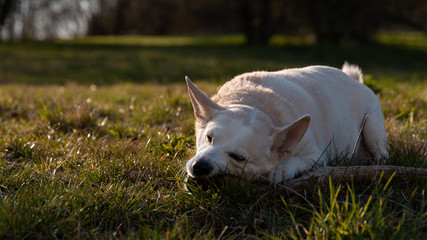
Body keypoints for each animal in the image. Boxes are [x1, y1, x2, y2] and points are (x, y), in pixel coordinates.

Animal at [184, 62, 388, 183]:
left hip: (372, 128)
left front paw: (281, 170)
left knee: (381, 153)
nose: (200, 166)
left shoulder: (316, 157)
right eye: (209, 138)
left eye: (238, 158)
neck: (256, 105)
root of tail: (355, 80)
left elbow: (294, 162)